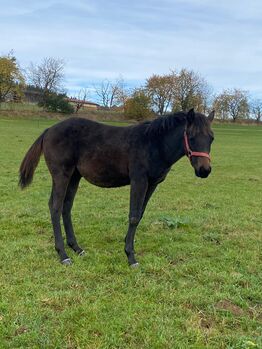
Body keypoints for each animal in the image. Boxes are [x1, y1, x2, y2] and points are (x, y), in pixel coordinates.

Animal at [18, 107, 215, 266]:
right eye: (191, 137)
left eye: (211, 138)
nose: (204, 170)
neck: (154, 144)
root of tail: (49, 130)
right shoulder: (139, 180)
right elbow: (134, 216)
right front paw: (131, 257)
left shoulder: (152, 184)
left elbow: (140, 215)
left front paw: (127, 244)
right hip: (61, 174)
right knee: (56, 207)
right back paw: (63, 255)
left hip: (74, 176)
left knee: (66, 207)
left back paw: (77, 248)